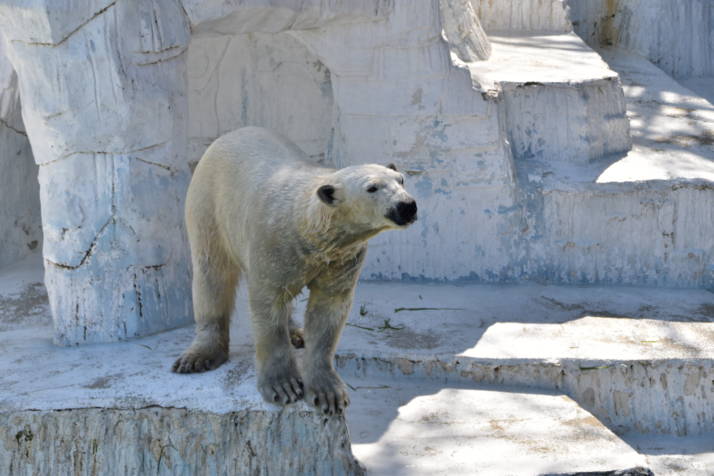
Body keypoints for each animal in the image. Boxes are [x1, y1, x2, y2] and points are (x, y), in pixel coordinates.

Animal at [173, 128, 418, 414]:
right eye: (372, 188)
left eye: (401, 180)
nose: (407, 205)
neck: (306, 223)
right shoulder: (272, 243)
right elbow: (268, 305)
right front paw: (284, 386)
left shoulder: (342, 259)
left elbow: (328, 311)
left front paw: (327, 392)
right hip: (208, 205)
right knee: (212, 273)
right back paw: (199, 356)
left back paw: (296, 333)